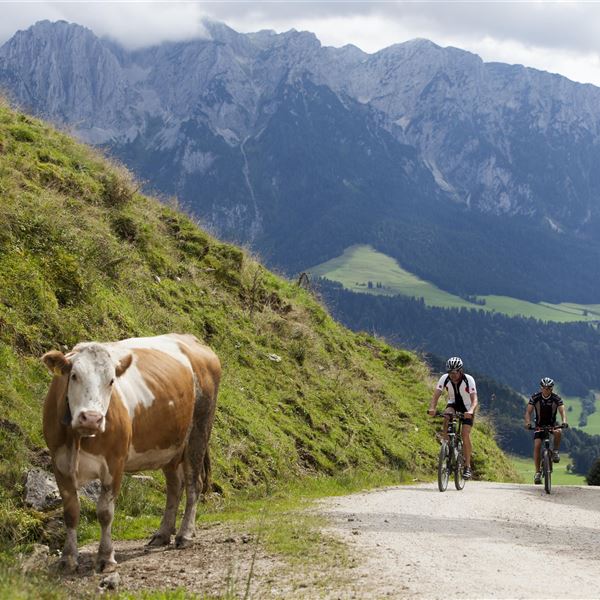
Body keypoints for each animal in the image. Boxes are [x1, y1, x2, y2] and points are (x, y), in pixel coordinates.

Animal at [41, 332, 220, 572]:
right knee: (175, 486)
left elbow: (105, 512)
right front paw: (68, 559)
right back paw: (163, 534)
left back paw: (185, 535)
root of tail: (191, 339)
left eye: (111, 381)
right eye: (74, 376)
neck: (78, 438)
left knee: (194, 485)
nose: (92, 418)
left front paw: (105, 558)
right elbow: (71, 512)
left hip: (199, 432)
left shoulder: (115, 462)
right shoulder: (59, 462)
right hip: (170, 447)